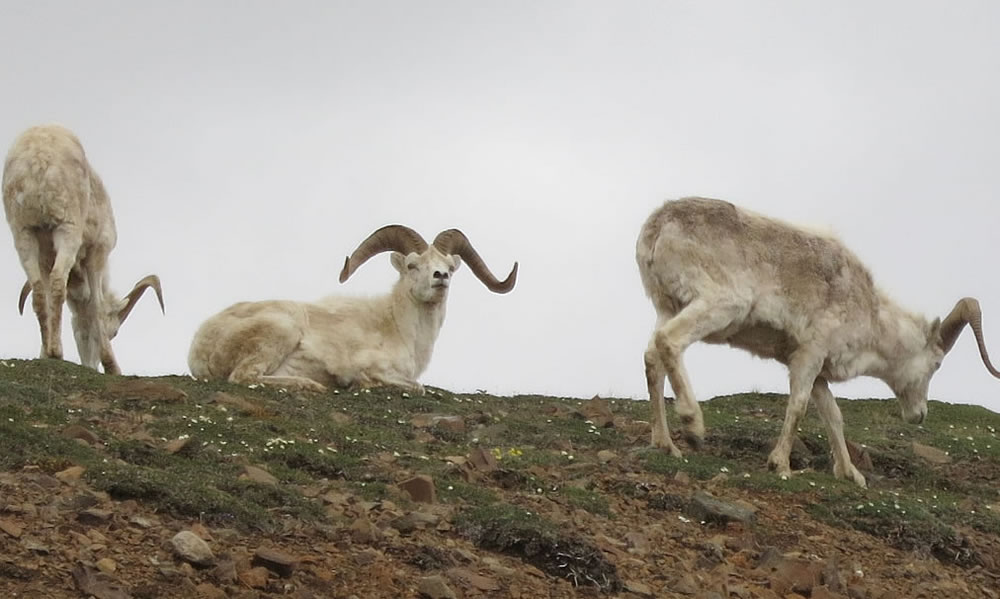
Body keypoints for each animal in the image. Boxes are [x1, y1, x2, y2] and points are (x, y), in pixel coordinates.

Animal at [188, 225, 520, 394]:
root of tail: (198, 348)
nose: (441, 277)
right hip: (281, 329)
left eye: (449, 266)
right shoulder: (375, 367)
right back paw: (312, 385)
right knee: (245, 376)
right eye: (413, 265)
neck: (398, 328)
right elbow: (417, 387)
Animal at [640, 197, 1000, 488]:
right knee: (669, 341)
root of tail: (657, 225)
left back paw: (666, 445)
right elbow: (798, 406)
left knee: (651, 357)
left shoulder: (818, 373)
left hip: (667, 306)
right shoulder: (808, 357)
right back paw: (693, 427)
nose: (919, 415)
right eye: (937, 364)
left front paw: (851, 474)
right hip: (719, 306)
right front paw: (781, 465)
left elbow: (833, 415)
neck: (872, 318)